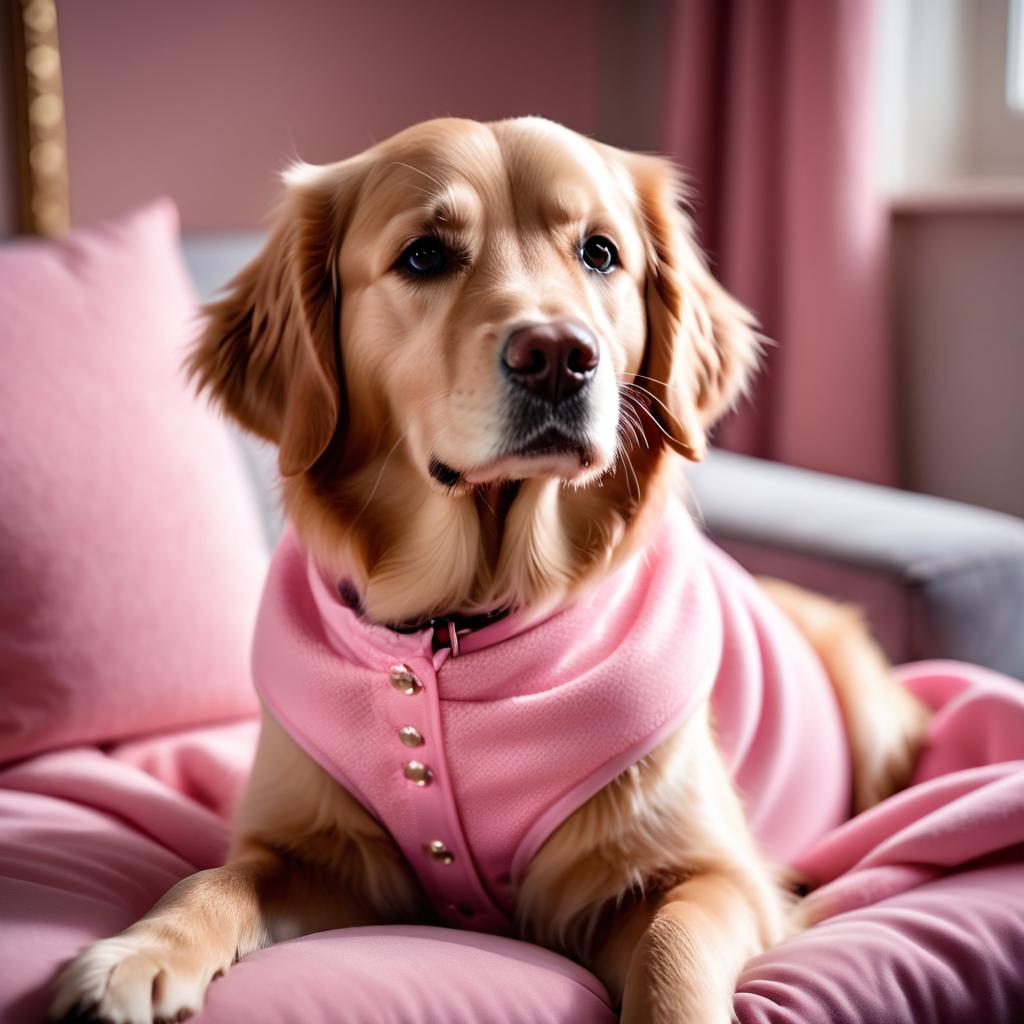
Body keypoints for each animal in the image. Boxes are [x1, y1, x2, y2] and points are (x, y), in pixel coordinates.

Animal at [49, 116, 929, 1019]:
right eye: (424, 256)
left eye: (601, 253)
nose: (559, 356)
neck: (459, 620)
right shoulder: (313, 850)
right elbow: (216, 879)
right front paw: (139, 954)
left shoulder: (716, 876)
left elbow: (671, 959)